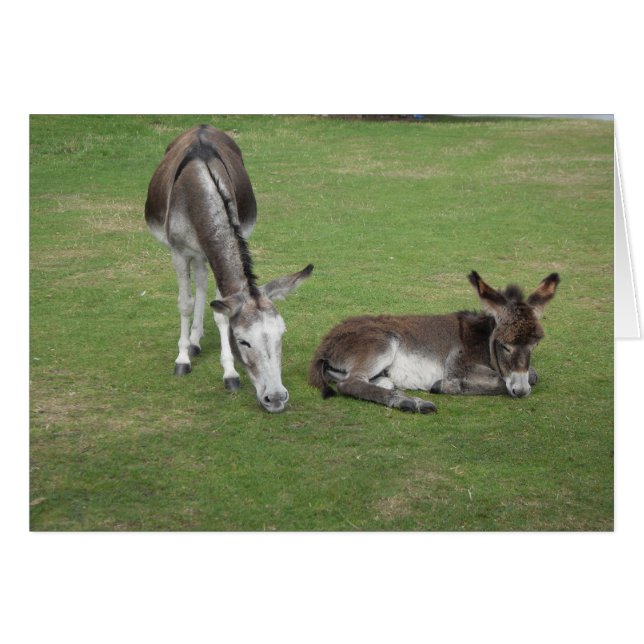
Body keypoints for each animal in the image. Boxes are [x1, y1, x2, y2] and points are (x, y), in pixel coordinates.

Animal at [145, 124, 313, 413]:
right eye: (243, 340)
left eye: (281, 335)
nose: (276, 399)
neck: (198, 191)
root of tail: (201, 126)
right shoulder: (179, 253)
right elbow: (185, 304)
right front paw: (182, 359)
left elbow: (221, 311)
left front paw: (230, 374)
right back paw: (191, 343)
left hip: (204, 253)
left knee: (203, 284)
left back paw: (196, 339)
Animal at [309, 271, 560, 413]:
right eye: (505, 345)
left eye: (534, 345)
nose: (521, 391)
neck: (482, 339)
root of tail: (324, 344)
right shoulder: (457, 366)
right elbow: (502, 381)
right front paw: (443, 386)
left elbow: (533, 374)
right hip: (381, 344)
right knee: (350, 384)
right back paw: (411, 403)